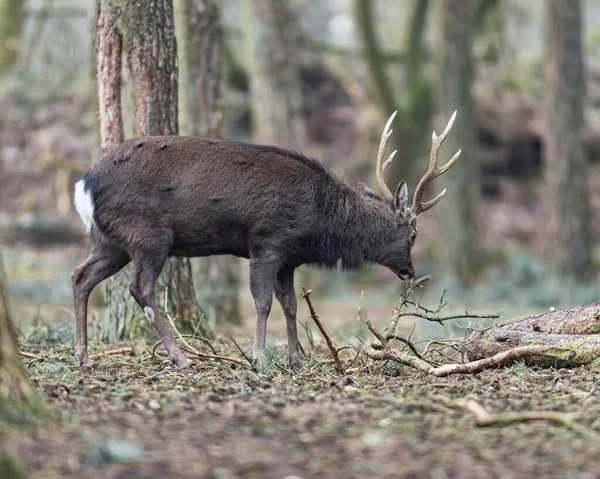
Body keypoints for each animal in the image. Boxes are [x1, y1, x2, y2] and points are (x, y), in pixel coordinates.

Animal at [72, 112, 462, 372]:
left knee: (80, 276)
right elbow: (263, 303)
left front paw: (296, 358)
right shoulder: (267, 242)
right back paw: (180, 358)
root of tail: (84, 184)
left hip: (109, 242)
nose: (410, 270)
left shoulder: (289, 257)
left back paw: (84, 357)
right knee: (140, 288)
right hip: (149, 235)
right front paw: (259, 359)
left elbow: (290, 305)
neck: (319, 223)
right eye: (413, 234)